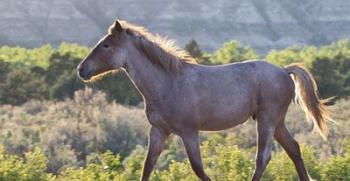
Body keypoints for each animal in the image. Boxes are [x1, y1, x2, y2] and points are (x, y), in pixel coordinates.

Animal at [76, 19, 330, 181]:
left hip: (267, 121)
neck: (167, 83)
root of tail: (284, 71)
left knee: (263, 158)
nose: (81, 69)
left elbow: (198, 168)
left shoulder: (189, 132)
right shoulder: (159, 131)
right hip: (276, 122)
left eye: (106, 45)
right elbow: (148, 167)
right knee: (294, 149)